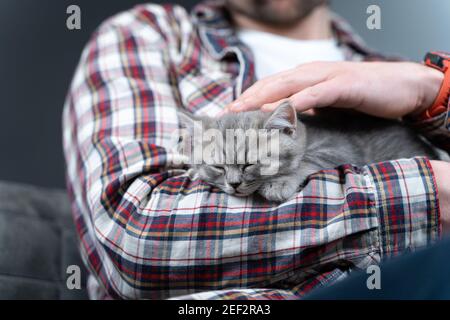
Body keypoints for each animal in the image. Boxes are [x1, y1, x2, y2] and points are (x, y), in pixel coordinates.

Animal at [178, 102, 438, 202]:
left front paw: (279, 183)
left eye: (250, 164)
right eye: (218, 167)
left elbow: (307, 161)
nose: (233, 184)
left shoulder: (339, 148)